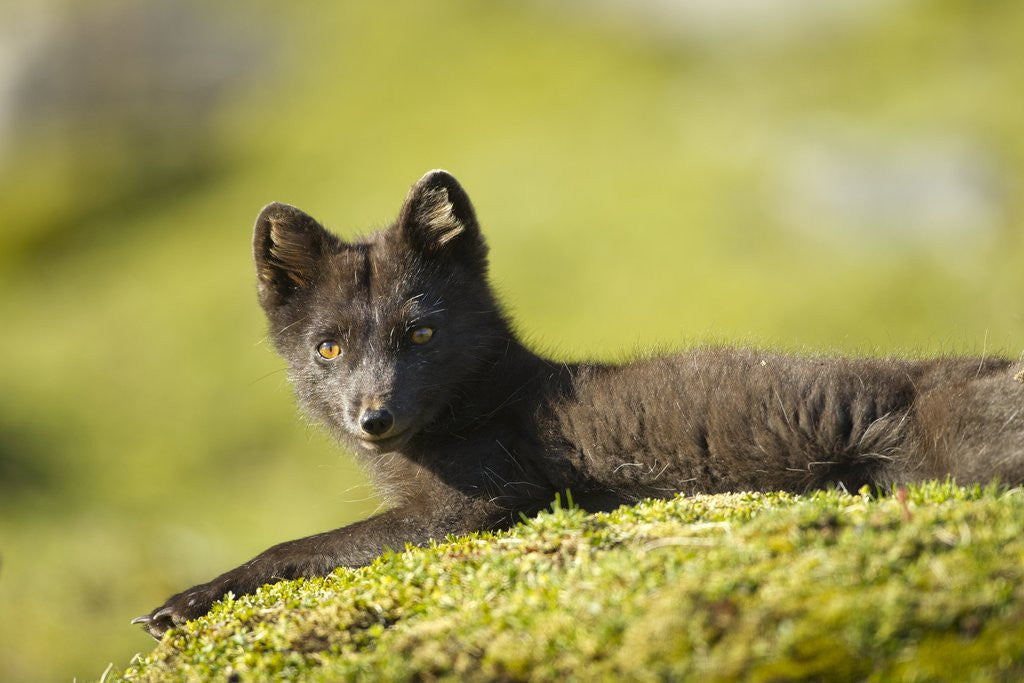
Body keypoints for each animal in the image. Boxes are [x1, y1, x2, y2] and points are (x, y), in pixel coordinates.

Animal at [134, 169, 1024, 638]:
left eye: (420, 332)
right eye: (328, 347)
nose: (373, 416)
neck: (481, 402)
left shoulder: (474, 504)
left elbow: (298, 543)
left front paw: (186, 598)